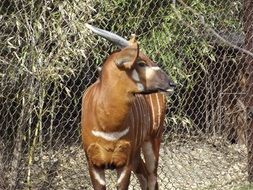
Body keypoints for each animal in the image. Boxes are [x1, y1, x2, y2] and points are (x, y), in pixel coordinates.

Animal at [81, 24, 176, 190]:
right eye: (141, 63)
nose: (171, 84)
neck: (108, 127)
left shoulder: (124, 165)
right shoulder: (94, 165)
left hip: (153, 140)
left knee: (152, 177)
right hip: (137, 153)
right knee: (145, 176)